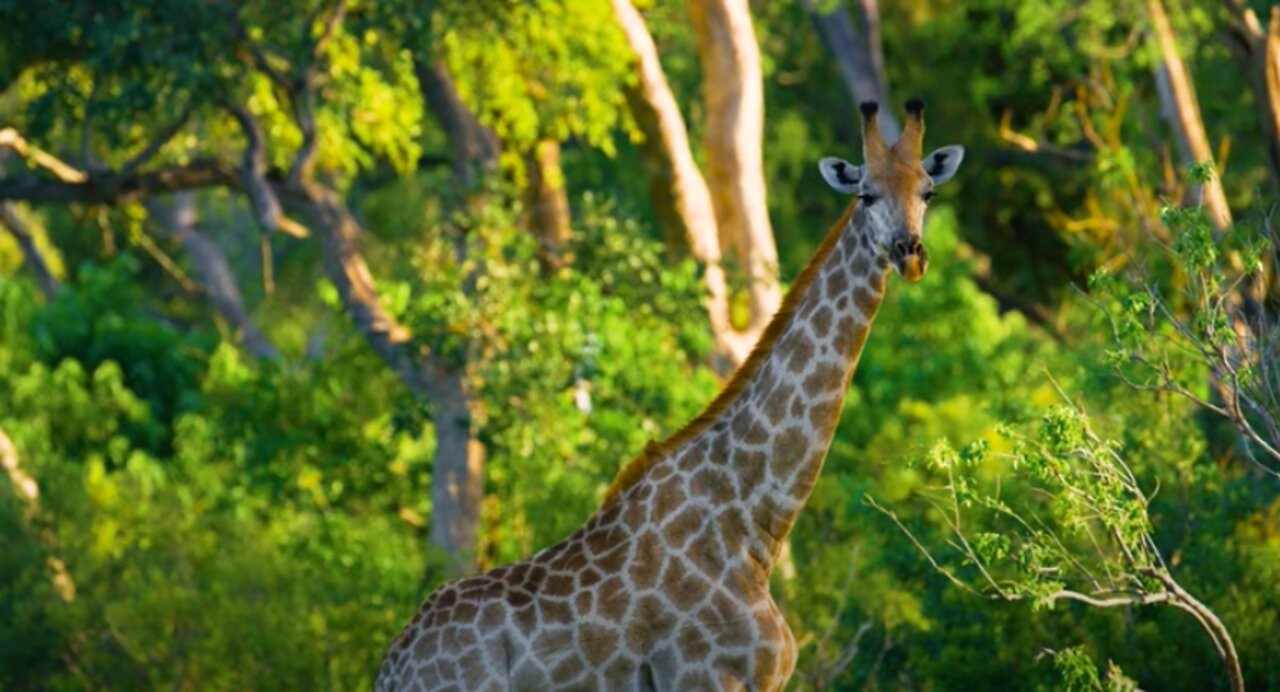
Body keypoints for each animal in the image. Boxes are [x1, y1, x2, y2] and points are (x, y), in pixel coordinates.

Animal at [373, 98, 962, 690]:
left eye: (927, 191)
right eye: (865, 194)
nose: (909, 253)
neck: (753, 525)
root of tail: (392, 667)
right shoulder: (701, 675)